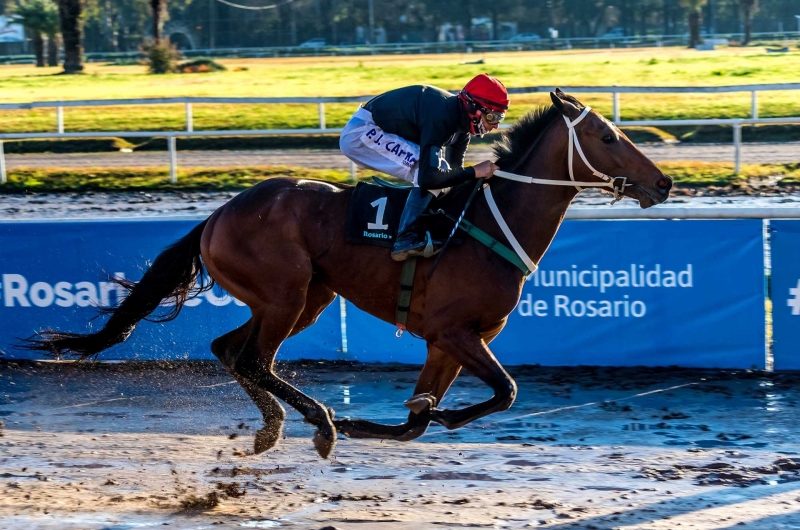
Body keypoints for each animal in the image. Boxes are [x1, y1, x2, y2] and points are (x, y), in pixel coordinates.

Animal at [26, 88, 668, 456]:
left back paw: (274, 426)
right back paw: (320, 421)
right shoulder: (456, 332)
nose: (662, 183)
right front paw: (413, 416)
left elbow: (418, 422)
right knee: (254, 358)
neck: (489, 224)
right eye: (608, 136)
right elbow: (504, 391)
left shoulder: (452, 341)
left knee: (231, 350)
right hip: (284, 294)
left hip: (301, 299)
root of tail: (220, 212)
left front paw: (401, 418)